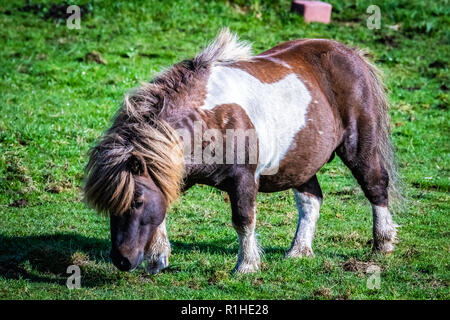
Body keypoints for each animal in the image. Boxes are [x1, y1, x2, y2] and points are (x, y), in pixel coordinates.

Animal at [83, 30, 398, 274]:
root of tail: (351, 53)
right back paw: (299, 251)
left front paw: (246, 266)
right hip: (300, 161)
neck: (209, 116)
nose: (122, 261)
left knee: (375, 185)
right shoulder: (174, 173)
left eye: (137, 201)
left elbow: (244, 220)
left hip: (359, 147)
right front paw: (158, 259)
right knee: (311, 201)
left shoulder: (243, 179)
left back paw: (383, 244)